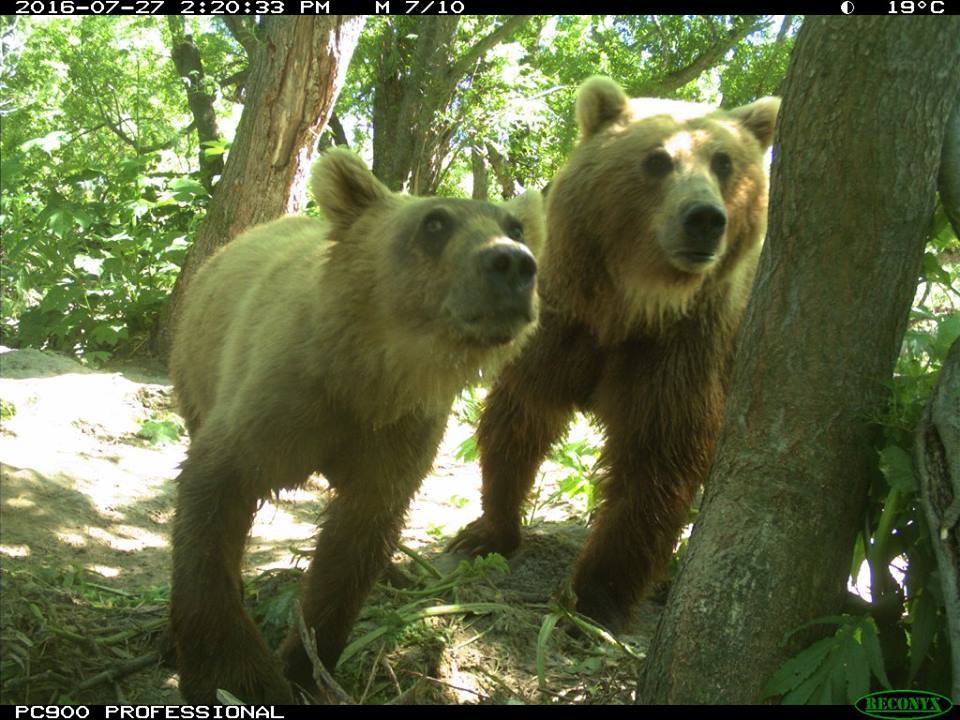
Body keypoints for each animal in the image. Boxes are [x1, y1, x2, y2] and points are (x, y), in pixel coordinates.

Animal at [168, 148, 544, 704]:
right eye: (435, 221)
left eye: (515, 226)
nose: (513, 262)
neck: (369, 376)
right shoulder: (279, 401)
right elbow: (213, 497)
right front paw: (237, 674)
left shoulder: (398, 434)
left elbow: (355, 540)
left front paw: (307, 664)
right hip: (196, 369)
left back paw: (397, 572)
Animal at [450, 76, 780, 632]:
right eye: (658, 159)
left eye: (724, 162)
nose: (704, 218)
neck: (628, 305)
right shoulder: (564, 324)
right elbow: (520, 417)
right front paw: (487, 531)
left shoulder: (682, 346)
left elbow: (656, 459)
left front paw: (594, 595)